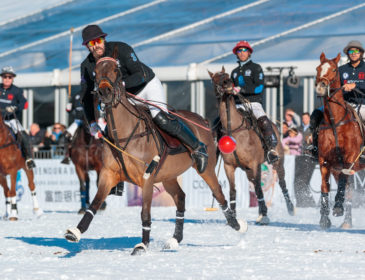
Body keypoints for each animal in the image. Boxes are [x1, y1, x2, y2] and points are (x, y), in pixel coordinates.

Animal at [64, 49, 247, 255]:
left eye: (116, 70)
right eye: (95, 72)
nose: (105, 92)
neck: (124, 133)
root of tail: (203, 121)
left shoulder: (147, 178)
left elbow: (145, 212)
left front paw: (142, 245)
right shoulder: (108, 174)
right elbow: (94, 204)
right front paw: (75, 231)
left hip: (206, 169)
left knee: (219, 193)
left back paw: (237, 224)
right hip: (169, 176)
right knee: (181, 198)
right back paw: (175, 239)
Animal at [208, 66, 292, 225]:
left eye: (227, 76)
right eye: (215, 79)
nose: (228, 83)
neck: (233, 128)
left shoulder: (254, 164)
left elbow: (259, 189)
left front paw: (264, 215)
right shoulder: (229, 166)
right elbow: (233, 191)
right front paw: (233, 217)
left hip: (277, 160)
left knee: (282, 182)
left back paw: (290, 208)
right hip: (247, 170)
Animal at [312, 52, 364, 230]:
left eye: (334, 70)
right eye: (318, 68)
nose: (320, 87)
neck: (335, 122)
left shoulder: (349, 160)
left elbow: (342, 184)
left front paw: (338, 208)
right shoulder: (325, 161)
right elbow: (324, 187)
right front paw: (324, 219)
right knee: (348, 192)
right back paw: (347, 222)